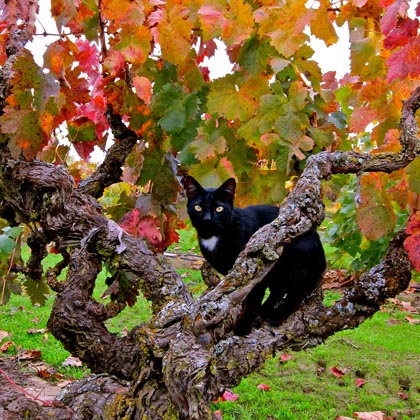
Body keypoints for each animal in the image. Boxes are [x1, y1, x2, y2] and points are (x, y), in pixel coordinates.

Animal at [182, 176, 326, 336]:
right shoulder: (236, 274)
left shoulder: (255, 265)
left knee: (296, 291)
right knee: (279, 289)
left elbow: (253, 298)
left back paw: (277, 315)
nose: (207, 219)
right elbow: (241, 295)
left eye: (219, 208)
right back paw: (265, 310)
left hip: (293, 262)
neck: (214, 236)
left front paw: (243, 326)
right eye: (198, 208)